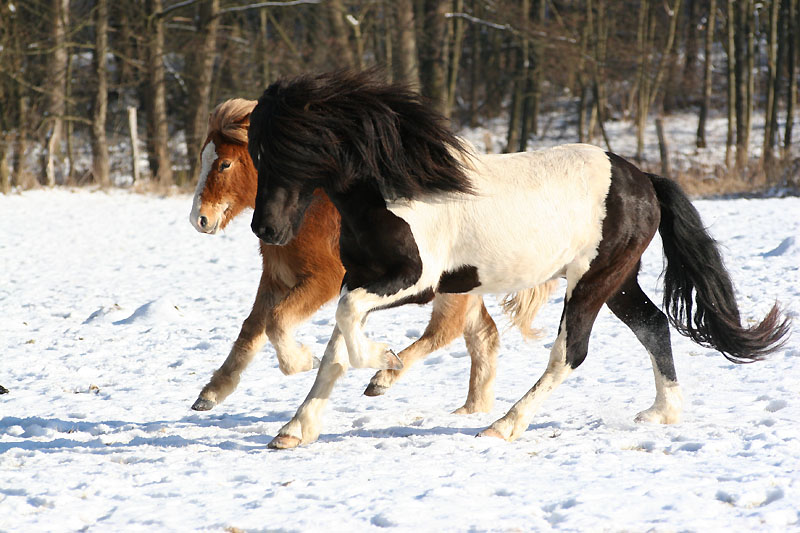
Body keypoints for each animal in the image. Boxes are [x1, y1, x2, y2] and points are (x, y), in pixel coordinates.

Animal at [188, 98, 556, 412]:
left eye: (224, 163)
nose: (199, 219)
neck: (310, 210)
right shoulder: (276, 279)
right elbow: (252, 328)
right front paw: (211, 393)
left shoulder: (324, 281)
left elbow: (276, 322)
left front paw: (303, 361)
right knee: (483, 335)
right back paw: (470, 410)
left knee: (445, 331)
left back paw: (385, 376)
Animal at [252, 68, 792, 446]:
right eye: (257, 152)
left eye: (292, 149)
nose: (265, 229)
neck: (392, 194)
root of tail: (643, 180)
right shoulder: (362, 277)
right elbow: (335, 347)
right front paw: (295, 430)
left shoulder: (416, 282)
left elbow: (347, 323)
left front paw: (382, 367)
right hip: (618, 280)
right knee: (655, 326)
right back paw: (663, 413)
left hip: (591, 281)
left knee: (571, 353)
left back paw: (504, 425)